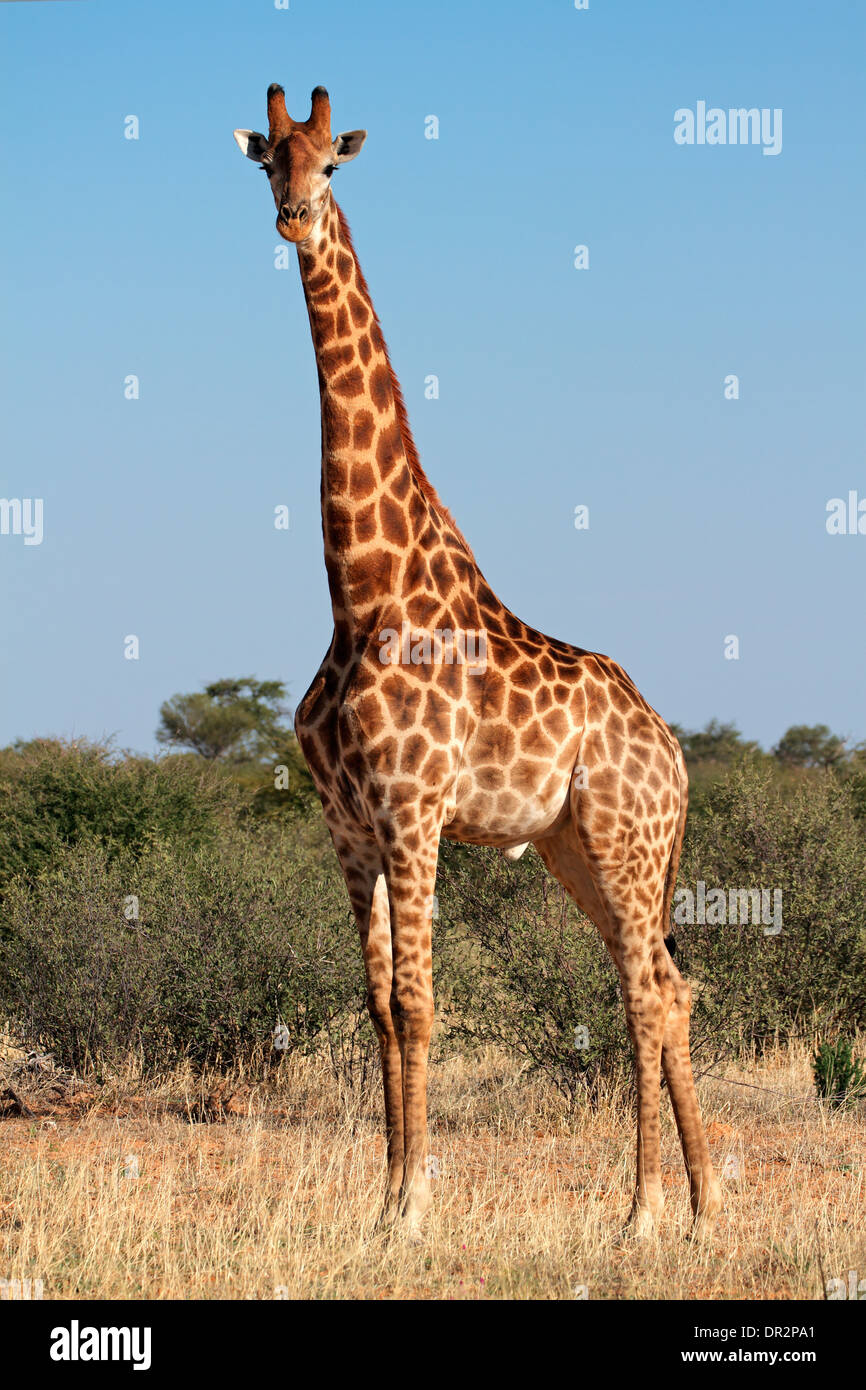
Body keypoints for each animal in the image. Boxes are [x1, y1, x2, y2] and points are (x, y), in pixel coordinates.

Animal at [233, 84, 722, 1239]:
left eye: (332, 164)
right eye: (269, 159)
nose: (293, 219)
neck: (358, 588)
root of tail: (674, 754)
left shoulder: (414, 810)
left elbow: (419, 1003)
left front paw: (412, 1204)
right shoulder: (347, 821)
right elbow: (376, 1005)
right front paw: (382, 1201)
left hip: (625, 840)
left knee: (646, 989)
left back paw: (641, 1213)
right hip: (574, 848)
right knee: (665, 985)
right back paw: (698, 1208)